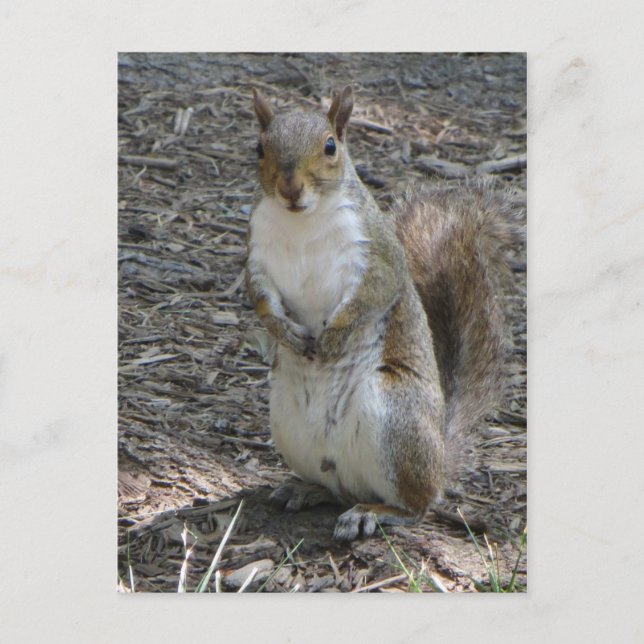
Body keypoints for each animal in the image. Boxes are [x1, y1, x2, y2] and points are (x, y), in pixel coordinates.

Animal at [246, 85, 519, 541]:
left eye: (330, 146)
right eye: (259, 148)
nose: (290, 188)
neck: (301, 223)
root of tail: (440, 459)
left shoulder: (378, 256)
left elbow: (370, 296)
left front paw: (333, 339)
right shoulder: (258, 259)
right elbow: (260, 299)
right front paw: (283, 331)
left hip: (394, 416)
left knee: (416, 505)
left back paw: (371, 512)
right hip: (287, 422)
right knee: (336, 487)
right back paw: (306, 489)